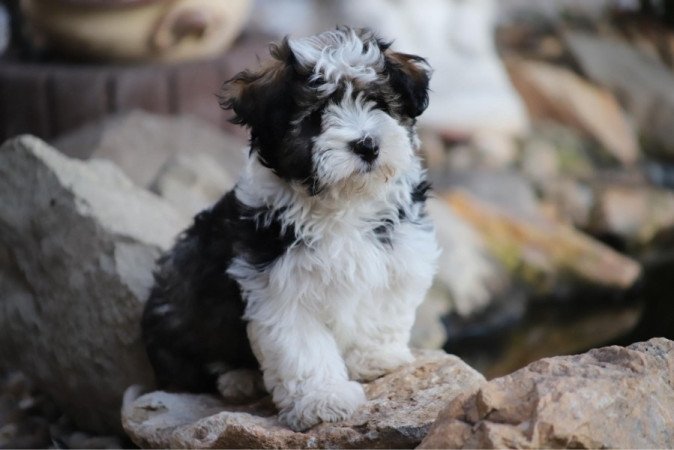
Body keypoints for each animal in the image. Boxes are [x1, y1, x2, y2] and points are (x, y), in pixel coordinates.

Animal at [140, 25, 440, 432]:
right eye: (316, 115)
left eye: (377, 102)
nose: (367, 144)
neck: (343, 203)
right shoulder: (279, 286)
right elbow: (303, 347)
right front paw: (323, 400)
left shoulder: (398, 255)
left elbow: (382, 310)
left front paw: (375, 357)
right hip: (182, 298)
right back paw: (238, 379)